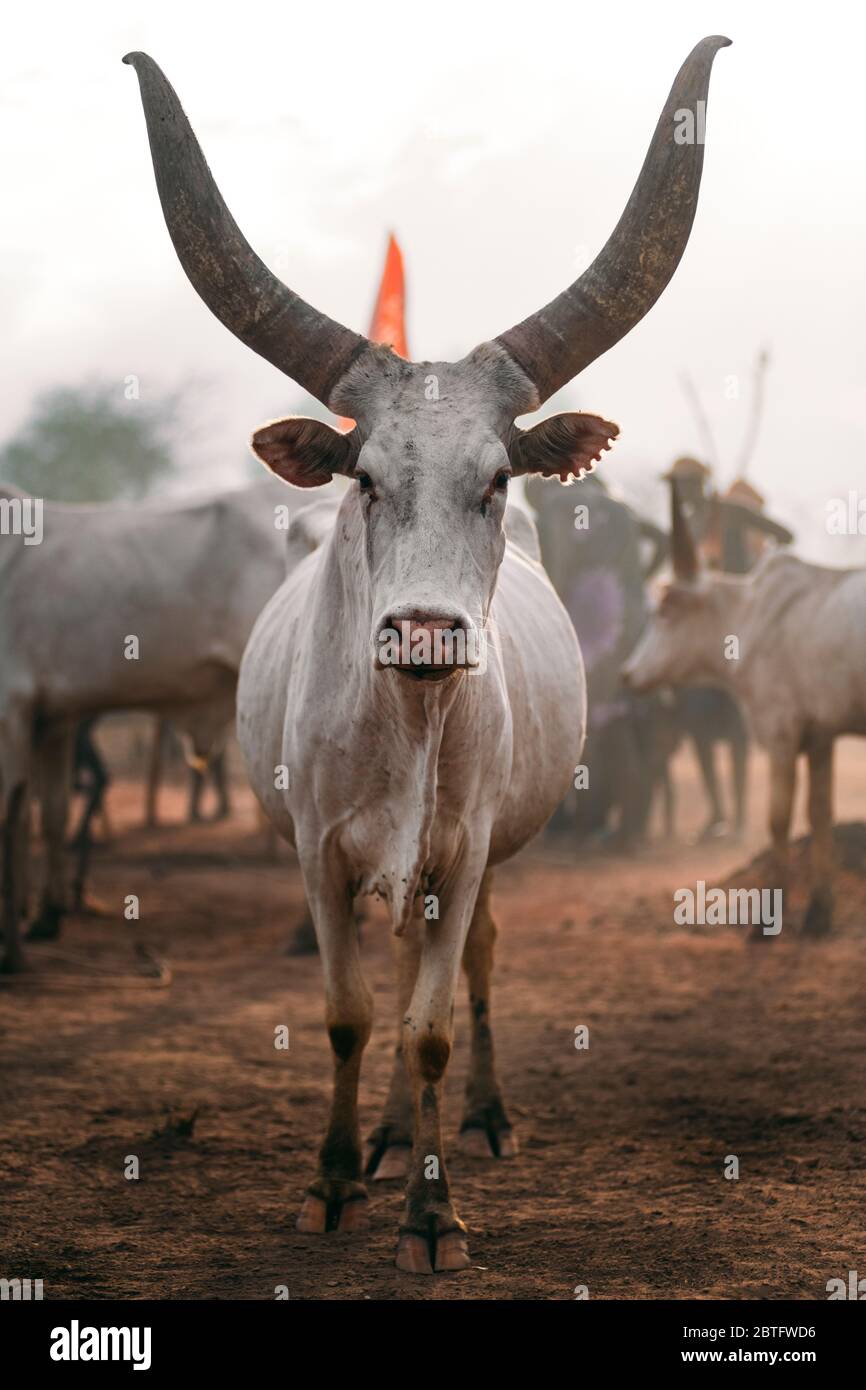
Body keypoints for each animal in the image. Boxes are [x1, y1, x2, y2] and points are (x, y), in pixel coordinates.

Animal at [125, 35, 730, 1272]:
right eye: (363, 478)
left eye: (495, 480)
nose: (421, 634)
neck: (399, 716)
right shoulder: (316, 854)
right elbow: (349, 1015)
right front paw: (329, 1180)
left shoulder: (460, 848)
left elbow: (432, 1024)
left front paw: (432, 1211)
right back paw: (389, 1136)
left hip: (481, 854)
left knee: (468, 966)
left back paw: (468, 1124)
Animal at [623, 482, 866, 936]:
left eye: (664, 611)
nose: (628, 674)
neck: (750, 617)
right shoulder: (821, 735)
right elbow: (820, 814)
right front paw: (818, 913)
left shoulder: (779, 733)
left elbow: (778, 819)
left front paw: (766, 925)